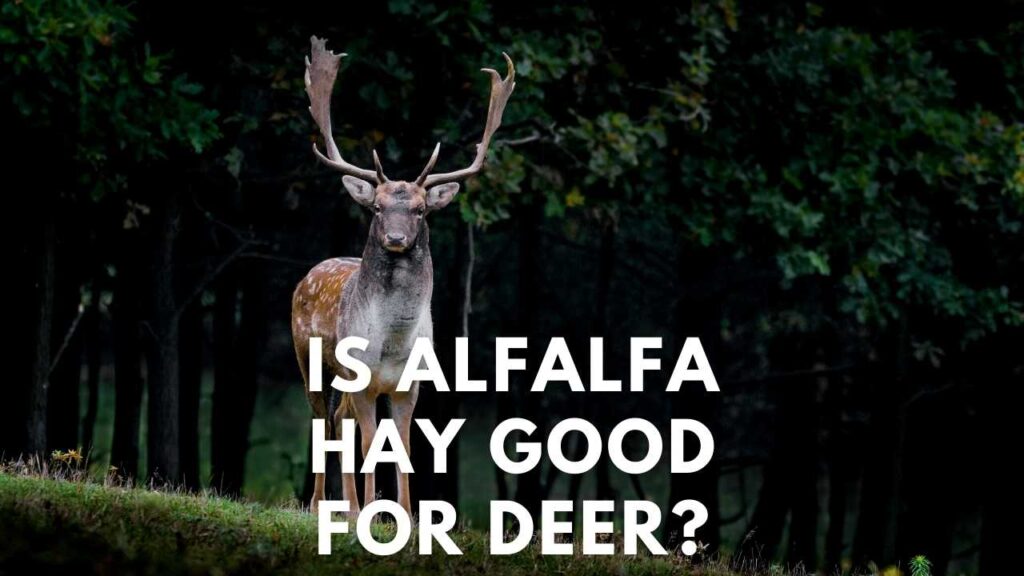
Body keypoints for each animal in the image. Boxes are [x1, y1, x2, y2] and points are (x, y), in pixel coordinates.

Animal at [292, 36, 515, 516]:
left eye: (420, 209)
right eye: (377, 207)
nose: (395, 238)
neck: (392, 343)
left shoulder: (409, 385)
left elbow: (406, 447)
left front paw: (406, 516)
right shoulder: (362, 378)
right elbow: (370, 442)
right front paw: (370, 513)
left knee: (339, 419)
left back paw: (346, 504)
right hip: (310, 358)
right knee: (321, 419)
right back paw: (322, 504)